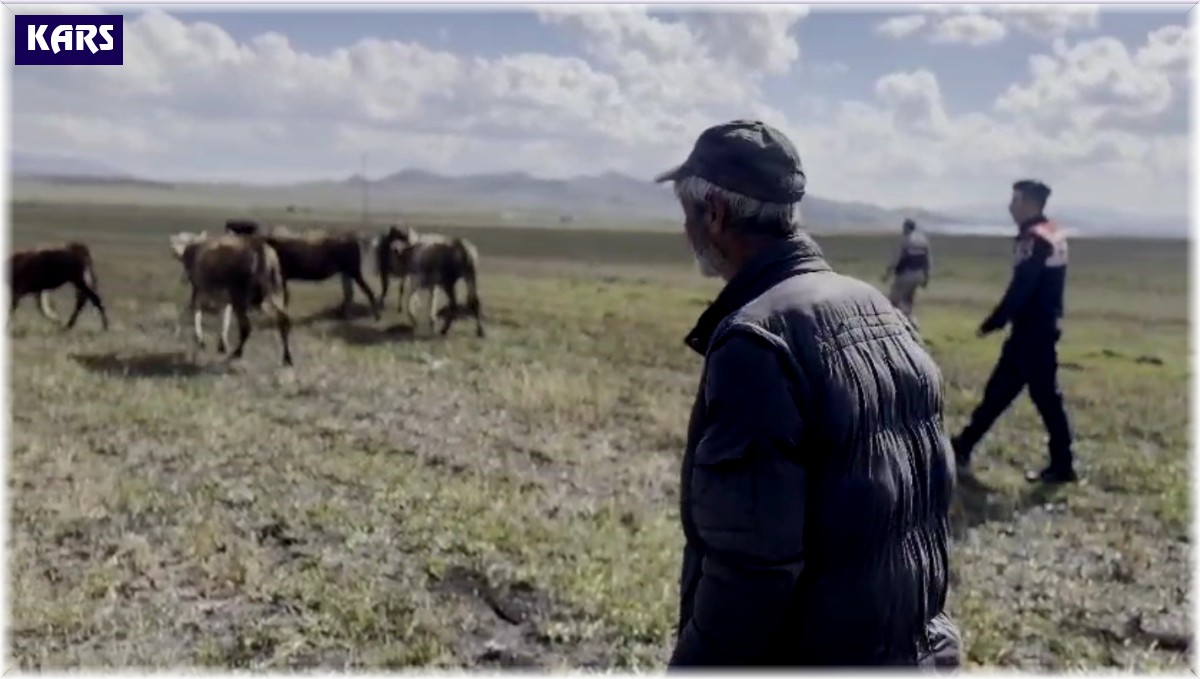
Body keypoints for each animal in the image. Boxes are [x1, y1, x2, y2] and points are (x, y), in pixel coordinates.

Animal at [223, 220, 376, 321]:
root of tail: (356, 238)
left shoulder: (281, 276)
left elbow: (285, 296)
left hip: (354, 270)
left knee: (366, 291)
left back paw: (375, 314)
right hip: (346, 272)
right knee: (349, 293)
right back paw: (343, 314)